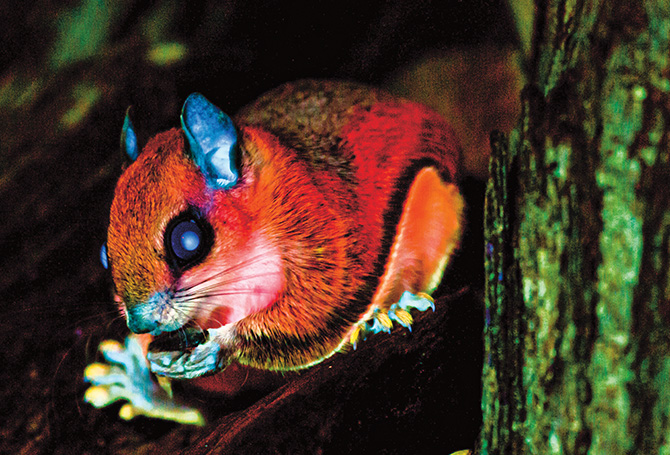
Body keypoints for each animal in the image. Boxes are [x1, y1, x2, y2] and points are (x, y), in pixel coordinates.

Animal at [84, 80, 464, 426]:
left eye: (188, 240)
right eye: (105, 255)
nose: (140, 324)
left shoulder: (320, 234)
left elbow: (308, 315)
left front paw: (220, 344)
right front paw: (149, 364)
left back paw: (390, 312)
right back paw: (138, 387)